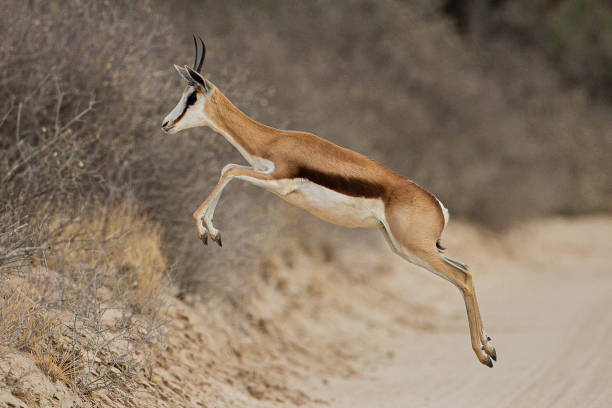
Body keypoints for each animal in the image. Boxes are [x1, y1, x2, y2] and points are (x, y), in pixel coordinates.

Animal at [161, 38, 498, 368]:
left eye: (191, 97)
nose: (165, 124)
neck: (272, 140)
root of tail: (439, 206)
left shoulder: (278, 180)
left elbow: (228, 170)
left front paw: (206, 230)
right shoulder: (267, 176)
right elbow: (229, 169)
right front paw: (213, 232)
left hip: (416, 249)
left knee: (462, 277)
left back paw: (483, 353)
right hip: (404, 249)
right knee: (466, 271)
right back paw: (489, 347)